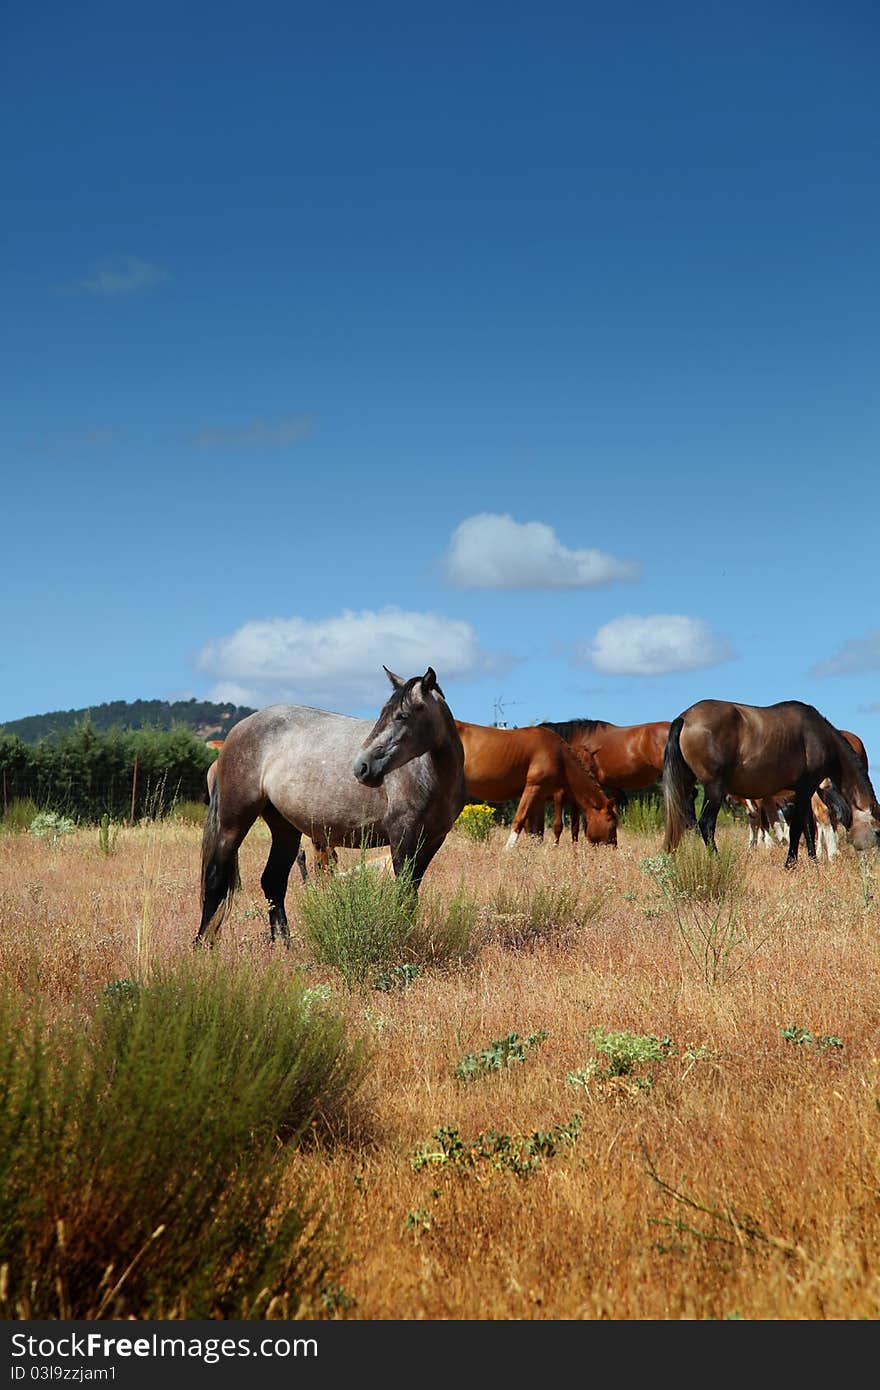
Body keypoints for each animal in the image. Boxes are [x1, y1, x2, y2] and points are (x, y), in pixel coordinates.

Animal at [453, 728, 617, 845]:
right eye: (611, 822)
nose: (614, 846)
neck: (558, 754)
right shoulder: (533, 788)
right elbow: (520, 820)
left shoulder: (540, 797)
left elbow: (537, 831)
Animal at [661, 700, 873, 861]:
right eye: (877, 832)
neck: (819, 735)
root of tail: (685, 718)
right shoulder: (806, 789)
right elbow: (797, 827)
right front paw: (791, 863)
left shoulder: (802, 793)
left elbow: (806, 826)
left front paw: (813, 862)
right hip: (714, 789)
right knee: (706, 824)